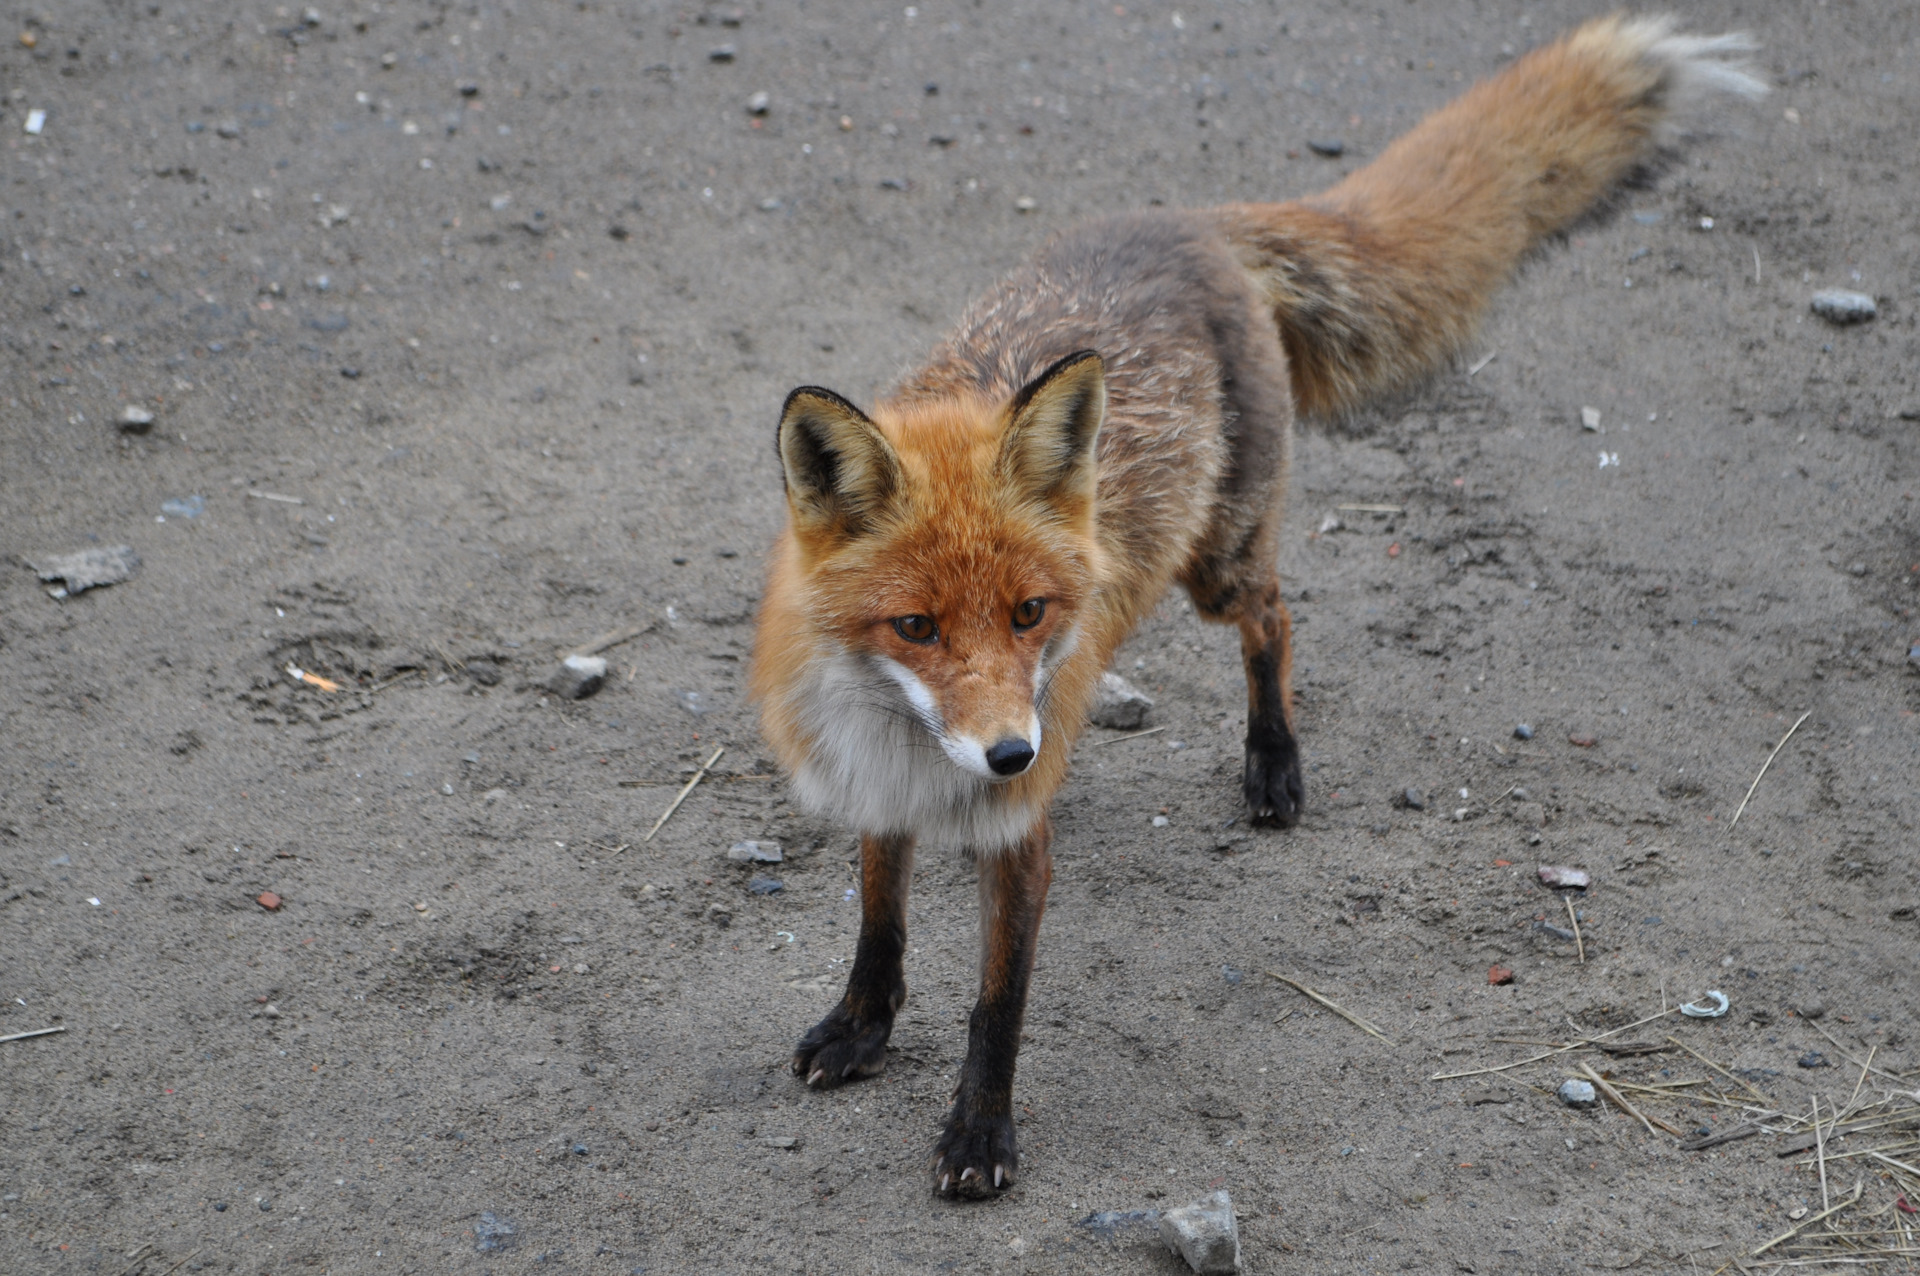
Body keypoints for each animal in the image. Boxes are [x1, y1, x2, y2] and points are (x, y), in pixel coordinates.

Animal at [744, 14, 1758, 1197]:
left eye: (1030, 613)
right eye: (915, 627)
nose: (1011, 754)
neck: (911, 748)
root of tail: (1186, 221)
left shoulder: (1020, 838)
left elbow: (998, 1005)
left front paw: (980, 1135)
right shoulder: (878, 792)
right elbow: (879, 921)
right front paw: (862, 1026)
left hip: (1218, 564)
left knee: (1275, 620)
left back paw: (1274, 763)